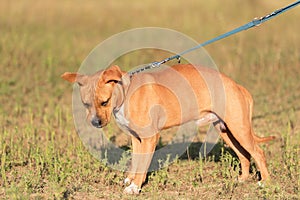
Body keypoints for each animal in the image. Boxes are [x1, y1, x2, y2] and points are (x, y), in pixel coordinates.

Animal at [61, 64, 274, 194]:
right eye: (86, 104)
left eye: (104, 102)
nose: (95, 122)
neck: (126, 93)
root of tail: (236, 86)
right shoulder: (137, 139)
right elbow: (136, 162)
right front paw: (130, 180)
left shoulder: (149, 138)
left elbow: (142, 165)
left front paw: (135, 187)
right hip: (227, 131)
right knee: (244, 155)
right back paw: (242, 179)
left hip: (239, 128)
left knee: (258, 153)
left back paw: (266, 182)